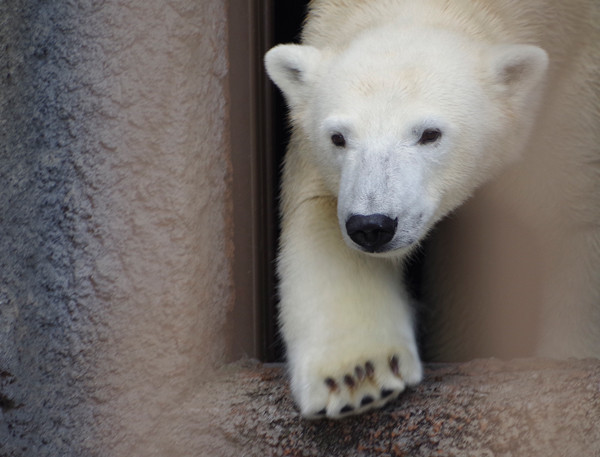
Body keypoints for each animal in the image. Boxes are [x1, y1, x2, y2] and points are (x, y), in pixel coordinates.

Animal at [266, 0, 600, 418]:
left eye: (430, 134)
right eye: (338, 137)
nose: (373, 225)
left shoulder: (577, 92)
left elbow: (577, 227)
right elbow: (319, 215)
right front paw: (357, 376)